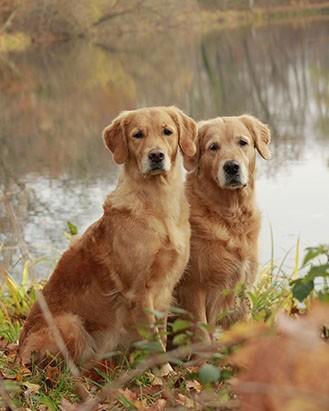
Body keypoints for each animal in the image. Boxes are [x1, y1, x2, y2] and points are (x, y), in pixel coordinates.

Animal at [19, 106, 196, 366]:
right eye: (137, 135)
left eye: (168, 132)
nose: (156, 156)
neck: (157, 203)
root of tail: (18, 352)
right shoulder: (139, 292)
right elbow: (153, 340)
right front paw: (163, 372)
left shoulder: (165, 290)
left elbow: (161, 335)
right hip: (71, 324)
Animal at [176, 115, 270, 338]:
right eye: (213, 147)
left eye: (242, 142)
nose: (232, 167)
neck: (230, 216)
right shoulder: (192, 290)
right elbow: (202, 336)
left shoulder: (242, 289)